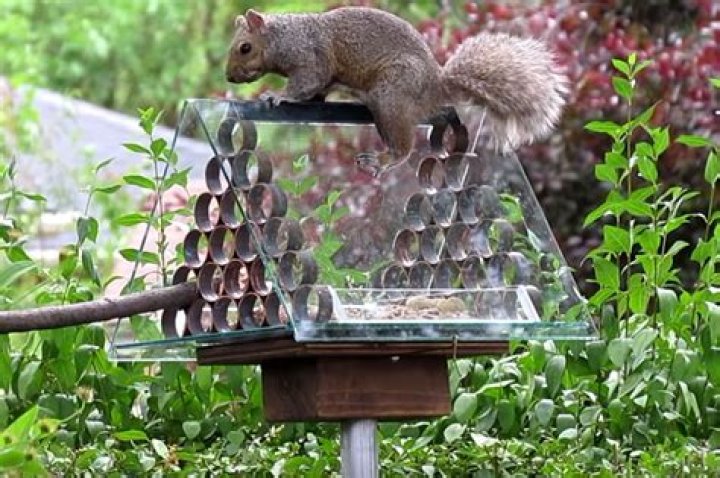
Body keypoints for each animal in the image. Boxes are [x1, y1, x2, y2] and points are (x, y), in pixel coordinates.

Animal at [225, 7, 568, 175]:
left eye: (245, 48)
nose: (229, 77)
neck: (283, 37)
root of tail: (436, 85)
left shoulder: (311, 58)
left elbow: (307, 81)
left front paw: (277, 95)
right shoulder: (324, 77)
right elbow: (318, 90)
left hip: (391, 95)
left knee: (403, 148)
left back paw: (382, 160)